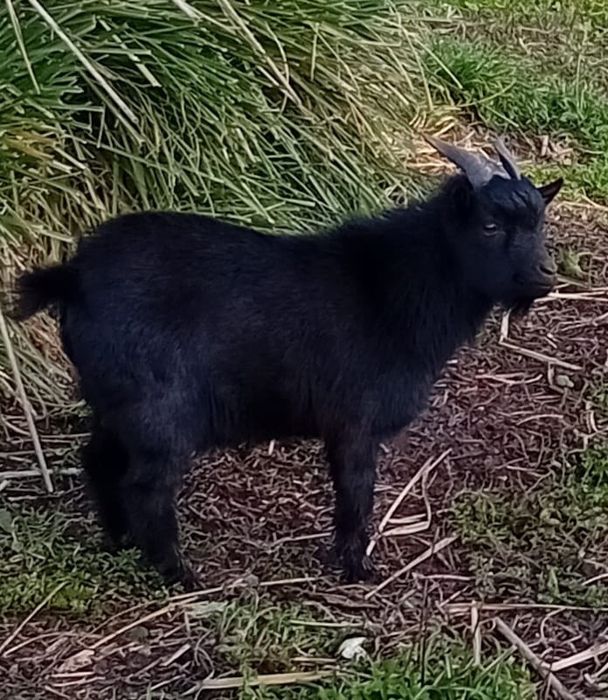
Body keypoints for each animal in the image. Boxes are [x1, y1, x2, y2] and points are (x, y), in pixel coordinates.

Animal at [11, 137, 563, 588]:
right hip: (159, 414)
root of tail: (71, 276)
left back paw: (119, 541)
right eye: (489, 226)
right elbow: (356, 494)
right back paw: (178, 574)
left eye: (540, 222)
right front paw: (357, 567)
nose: (545, 274)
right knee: (146, 485)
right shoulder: (355, 424)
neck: (389, 286)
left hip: (115, 404)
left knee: (99, 460)